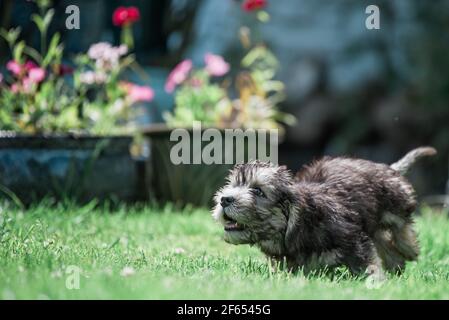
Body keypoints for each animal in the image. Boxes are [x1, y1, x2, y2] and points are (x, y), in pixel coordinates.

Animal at [212, 147, 436, 278]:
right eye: (233, 185)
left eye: (258, 191)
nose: (224, 199)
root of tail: (388, 168)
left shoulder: (353, 239)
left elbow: (368, 264)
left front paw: (375, 282)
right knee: (384, 239)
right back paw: (396, 263)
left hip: (394, 202)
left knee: (402, 224)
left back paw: (408, 249)